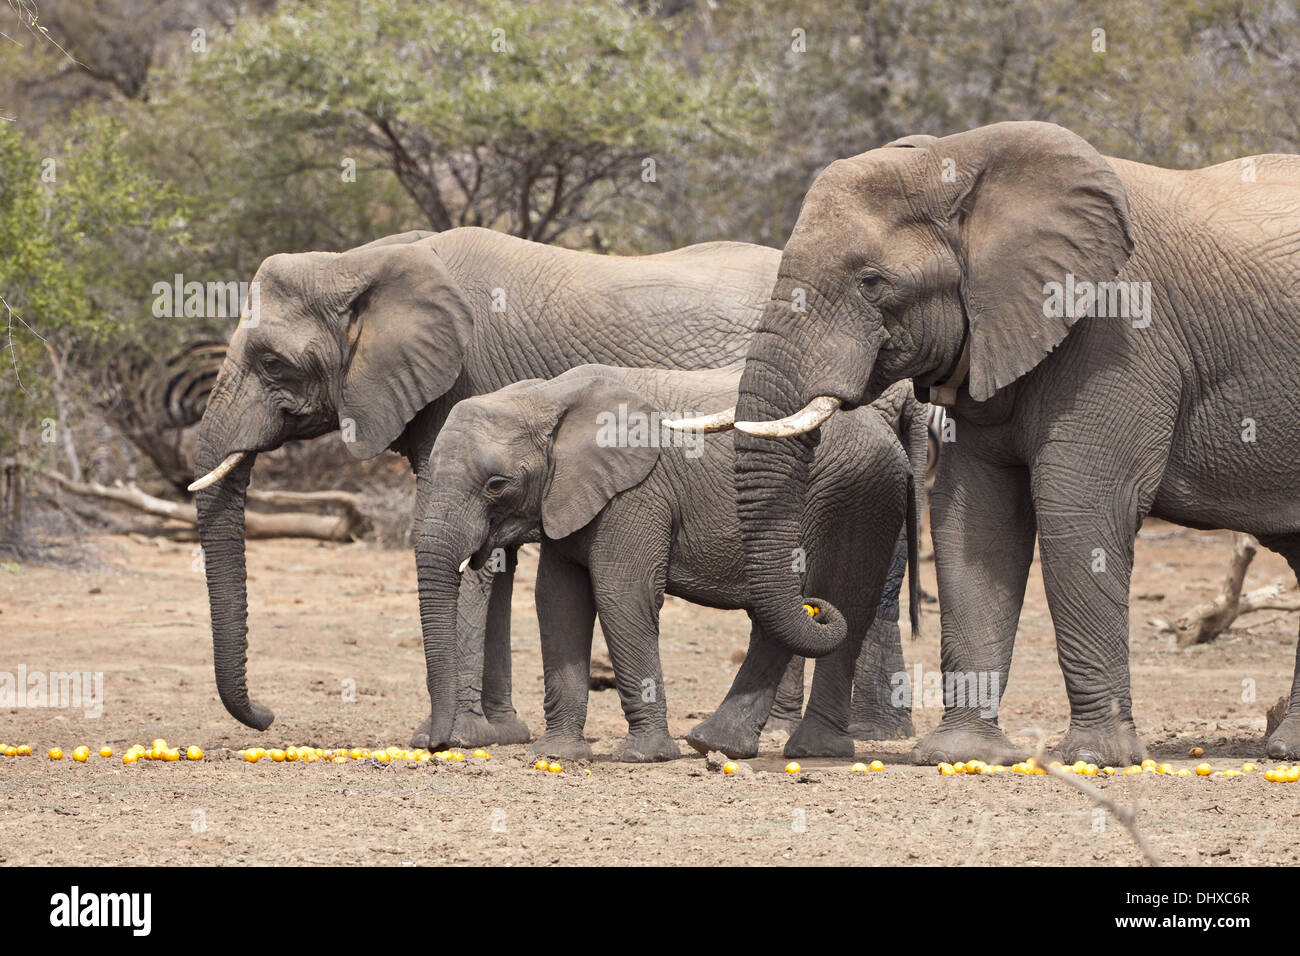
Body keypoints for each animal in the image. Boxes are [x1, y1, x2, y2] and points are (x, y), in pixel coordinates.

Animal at [417, 364, 926, 760]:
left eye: (496, 485)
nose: (438, 746)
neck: (546, 396)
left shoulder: (638, 492)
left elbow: (622, 594)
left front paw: (643, 756)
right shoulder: (567, 496)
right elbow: (559, 602)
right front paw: (556, 755)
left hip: (858, 496)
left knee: (841, 605)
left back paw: (801, 749)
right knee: (786, 613)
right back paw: (721, 746)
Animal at [682, 120, 1300, 766]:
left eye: (871, 283)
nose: (819, 608)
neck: (962, 161)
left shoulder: (1121, 335)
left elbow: (1080, 506)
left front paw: (1094, 758)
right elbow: (973, 516)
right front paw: (957, 754)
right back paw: (1286, 749)